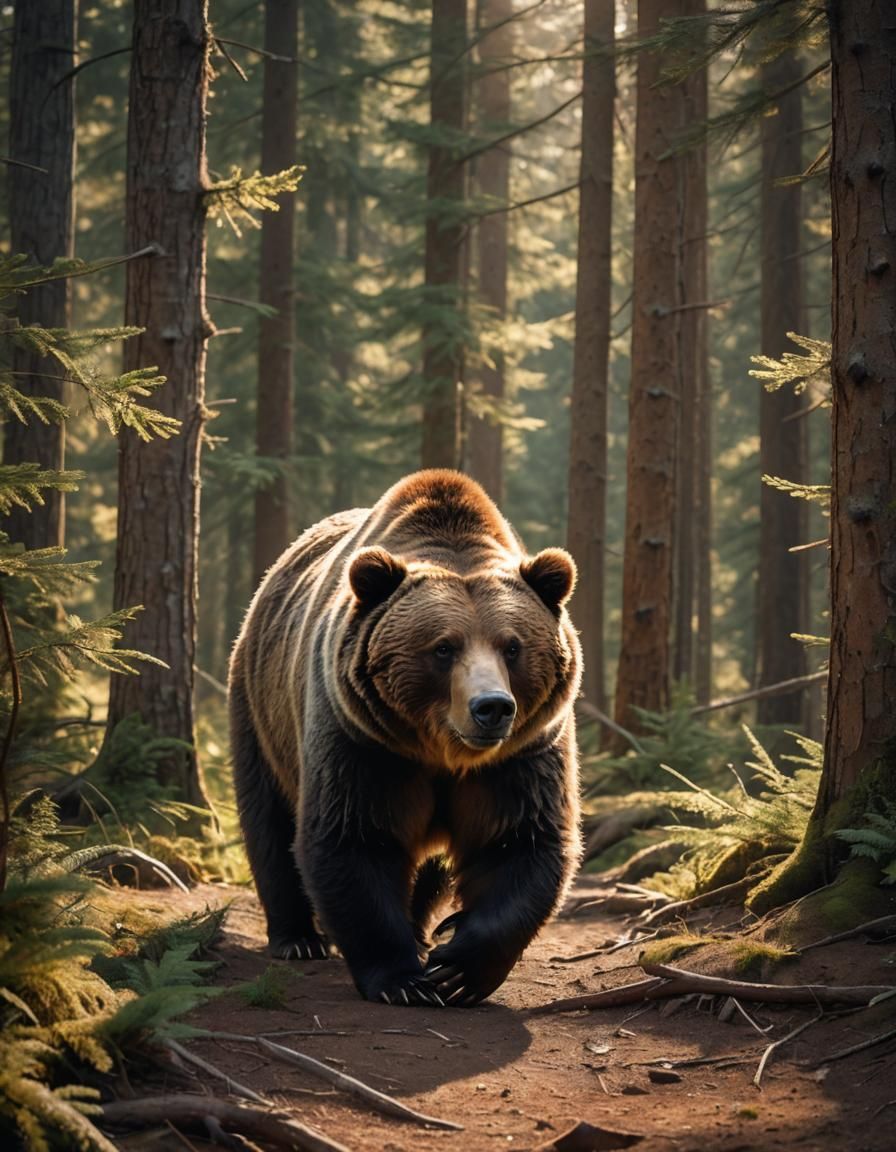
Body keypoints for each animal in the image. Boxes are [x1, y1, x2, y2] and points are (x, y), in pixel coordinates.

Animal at [229, 470, 581, 1007]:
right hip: (259, 705)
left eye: (513, 647)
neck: (443, 753)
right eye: (443, 647)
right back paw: (297, 938)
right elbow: (354, 836)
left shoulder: (523, 752)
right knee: (269, 819)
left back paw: (417, 932)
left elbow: (519, 839)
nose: (492, 708)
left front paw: (456, 966)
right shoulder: (361, 740)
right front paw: (402, 979)